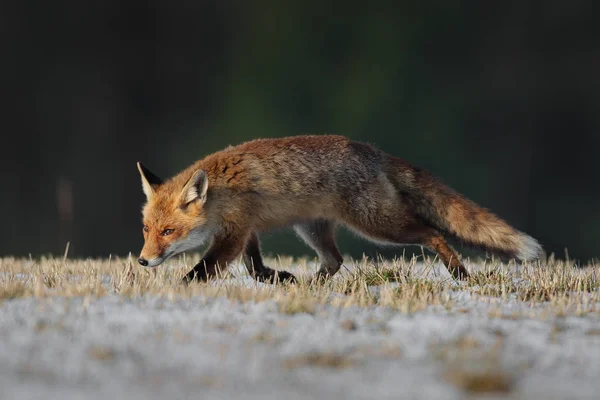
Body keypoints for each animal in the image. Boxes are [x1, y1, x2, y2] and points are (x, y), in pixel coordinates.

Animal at [137, 135, 544, 284]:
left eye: (169, 232)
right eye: (146, 230)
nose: (142, 260)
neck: (222, 190)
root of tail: (374, 152)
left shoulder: (233, 234)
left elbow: (202, 271)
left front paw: (179, 289)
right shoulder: (246, 229)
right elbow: (254, 266)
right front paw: (275, 278)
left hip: (378, 227)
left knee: (433, 233)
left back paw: (459, 273)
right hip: (313, 229)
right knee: (334, 261)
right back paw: (308, 285)